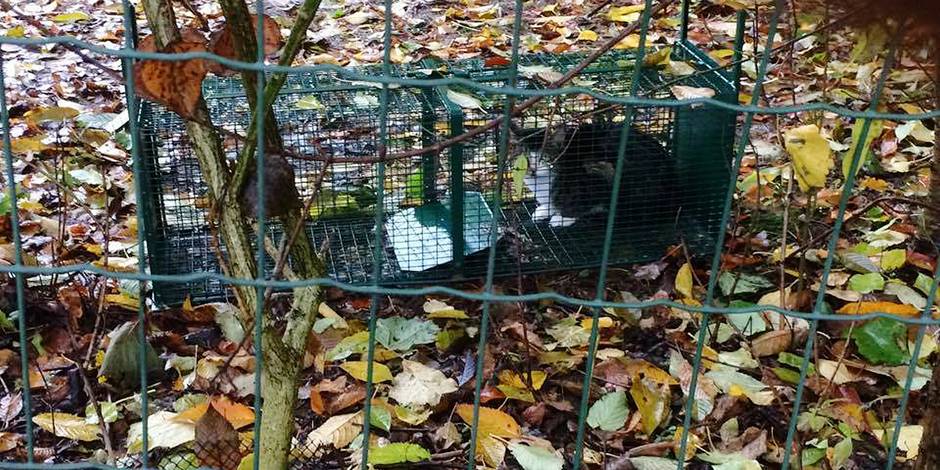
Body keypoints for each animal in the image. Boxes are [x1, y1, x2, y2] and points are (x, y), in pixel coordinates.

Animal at [516, 119, 676, 229]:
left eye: (544, 158)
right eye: (523, 158)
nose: (532, 170)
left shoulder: (597, 175)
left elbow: (582, 203)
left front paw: (562, 218)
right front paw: (544, 210)